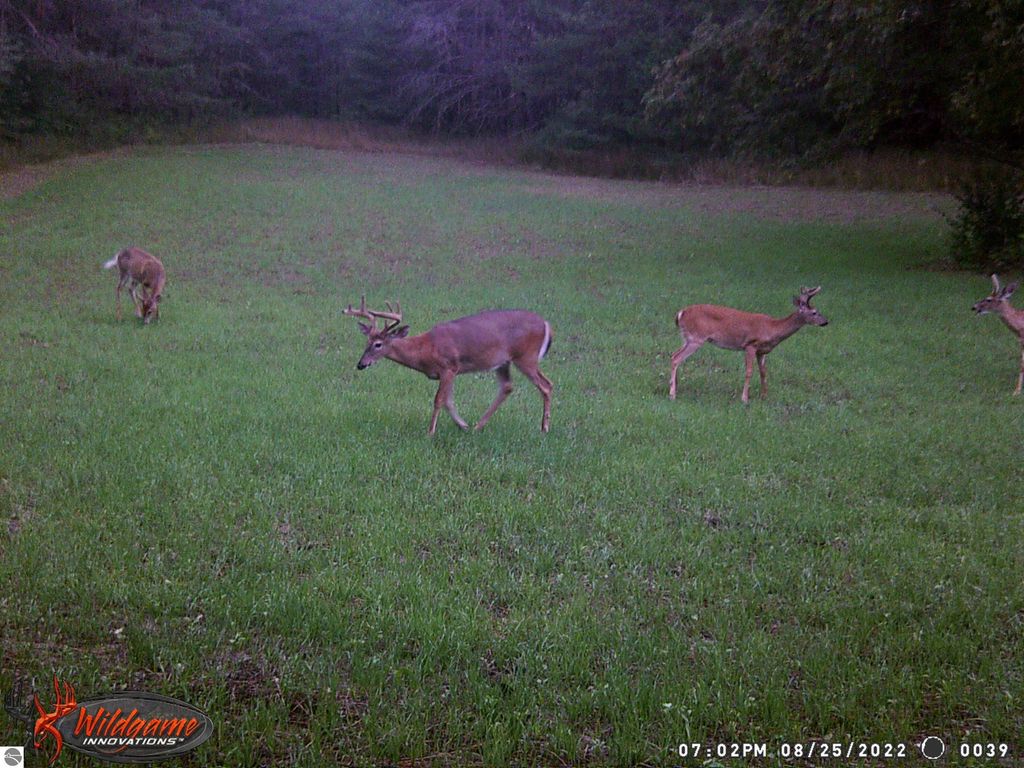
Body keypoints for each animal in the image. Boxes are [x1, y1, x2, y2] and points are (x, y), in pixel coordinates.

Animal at [343, 297, 554, 434]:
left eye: (378, 344)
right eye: (367, 342)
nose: (361, 364)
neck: (425, 350)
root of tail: (546, 323)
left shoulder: (448, 367)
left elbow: (439, 400)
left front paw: (430, 432)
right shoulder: (452, 371)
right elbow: (448, 401)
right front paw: (463, 425)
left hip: (526, 357)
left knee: (546, 385)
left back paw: (544, 427)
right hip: (504, 362)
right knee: (507, 387)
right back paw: (478, 426)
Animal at [669, 286, 828, 403]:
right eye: (814, 312)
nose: (826, 322)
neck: (772, 329)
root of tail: (681, 312)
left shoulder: (762, 351)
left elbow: (763, 372)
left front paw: (764, 396)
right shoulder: (750, 345)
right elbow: (749, 371)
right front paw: (745, 398)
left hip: (687, 337)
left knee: (673, 355)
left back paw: (673, 386)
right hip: (696, 338)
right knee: (677, 358)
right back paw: (672, 394)